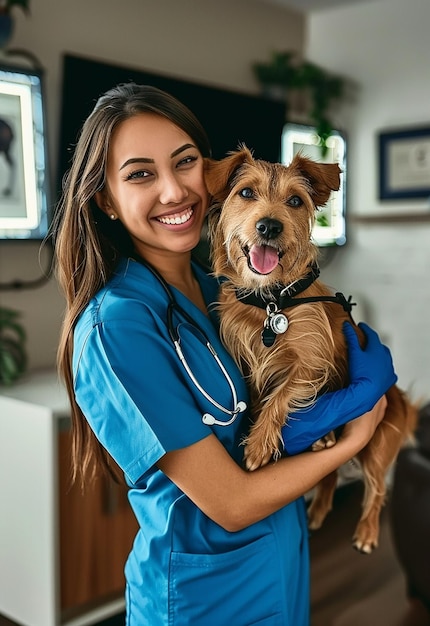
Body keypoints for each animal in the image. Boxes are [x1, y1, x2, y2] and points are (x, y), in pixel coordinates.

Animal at [205, 145, 416, 552]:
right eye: (246, 193)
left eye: (294, 201)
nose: (269, 226)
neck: (271, 302)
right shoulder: (247, 359)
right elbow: (259, 394)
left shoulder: (312, 361)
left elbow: (283, 393)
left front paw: (258, 446)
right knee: (330, 471)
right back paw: (320, 492)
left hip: (378, 445)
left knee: (377, 490)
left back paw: (367, 531)